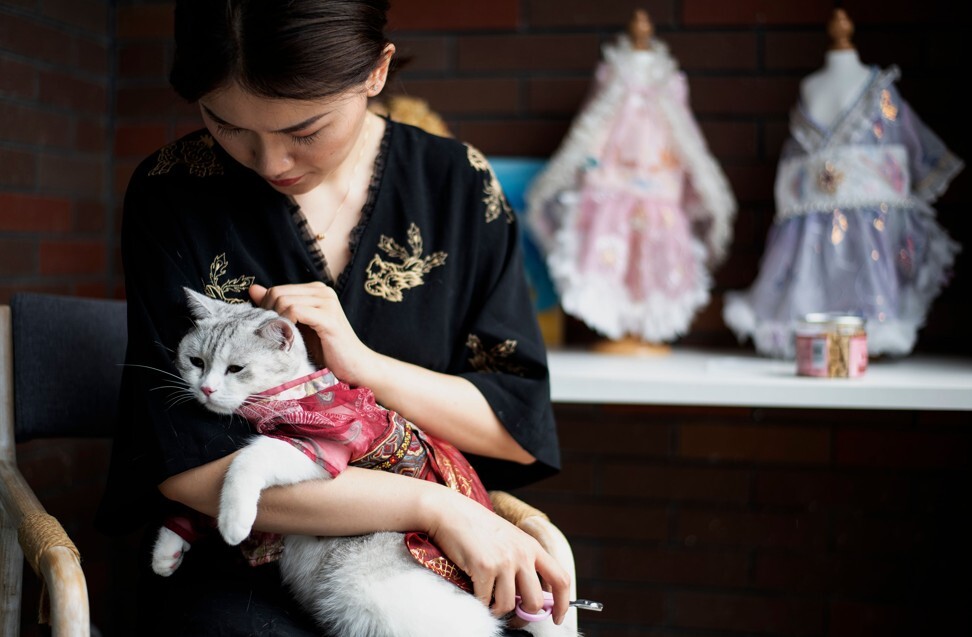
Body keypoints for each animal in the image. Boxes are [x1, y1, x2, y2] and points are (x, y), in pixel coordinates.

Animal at [150, 288, 568, 636]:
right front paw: (169, 547)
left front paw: (233, 521)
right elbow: (198, 499)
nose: (206, 388)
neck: (291, 393)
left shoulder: (319, 447)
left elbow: (248, 460)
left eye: (235, 369)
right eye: (196, 361)